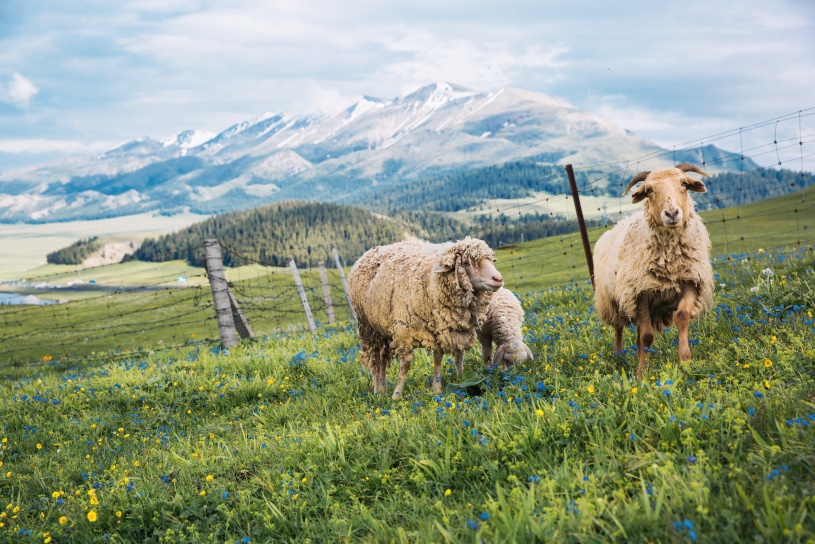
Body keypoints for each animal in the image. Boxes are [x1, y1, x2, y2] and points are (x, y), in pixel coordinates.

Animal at [350, 236, 504, 398]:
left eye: (491, 260)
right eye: (467, 262)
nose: (498, 279)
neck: (430, 281)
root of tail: (369, 252)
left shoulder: (437, 330)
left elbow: (438, 359)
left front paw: (436, 388)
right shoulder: (403, 331)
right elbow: (405, 365)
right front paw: (396, 395)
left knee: (381, 358)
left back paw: (382, 389)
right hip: (368, 326)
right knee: (376, 360)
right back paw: (378, 389)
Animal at [592, 164, 712, 380]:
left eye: (683, 183)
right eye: (649, 190)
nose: (671, 213)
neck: (669, 261)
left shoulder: (690, 282)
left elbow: (682, 317)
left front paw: (685, 361)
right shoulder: (639, 292)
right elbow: (647, 336)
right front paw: (641, 374)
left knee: (638, 334)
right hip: (613, 300)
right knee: (619, 327)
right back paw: (618, 354)